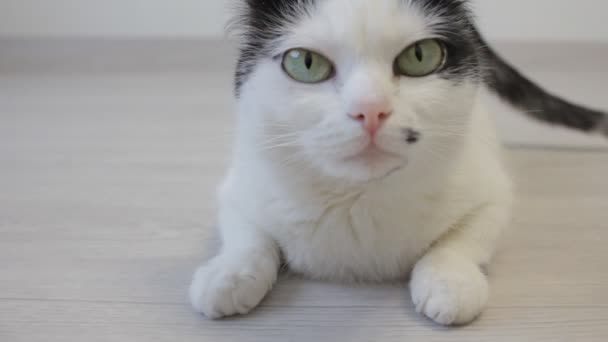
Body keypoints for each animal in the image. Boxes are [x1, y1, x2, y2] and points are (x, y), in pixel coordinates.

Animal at [188, 0, 604, 326]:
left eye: (420, 56)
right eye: (305, 63)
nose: (370, 109)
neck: (358, 203)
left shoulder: (493, 193)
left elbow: (464, 239)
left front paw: (450, 281)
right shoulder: (240, 186)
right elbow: (249, 237)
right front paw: (227, 275)